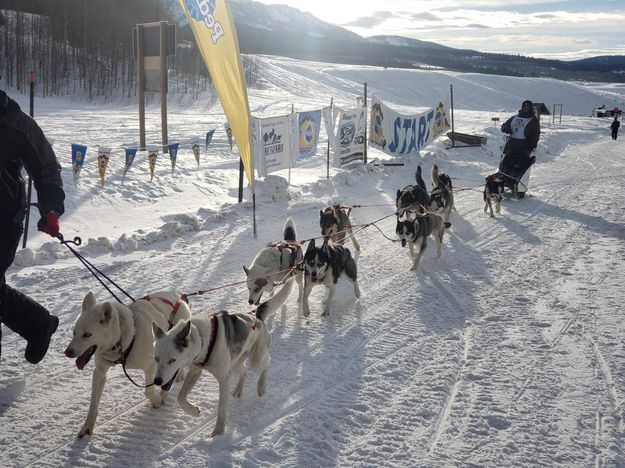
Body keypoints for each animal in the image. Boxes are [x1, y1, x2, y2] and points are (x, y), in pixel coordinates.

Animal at [63, 290, 191, 436]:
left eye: (87, 334)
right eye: (74, 332)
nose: (67, 352)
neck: (122, 341)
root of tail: (178, 294)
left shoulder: (150, 365)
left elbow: (148, 391)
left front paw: (156, 400)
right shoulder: (100, 372)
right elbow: (93, 404)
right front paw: (87, 426)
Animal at [154, 278, 294, 436]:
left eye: (172, 360)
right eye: (156, 359)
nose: (157, 381)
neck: (204, 339)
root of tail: (256, 316)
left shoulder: (223, 378)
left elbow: (221, 410)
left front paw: (217, 433)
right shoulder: (195, 371)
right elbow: (180, 397)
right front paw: (193, 411)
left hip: (256, 360)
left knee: (267, 363)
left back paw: (261, 385)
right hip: (235, 363)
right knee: (244, 372)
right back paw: (239, 390)